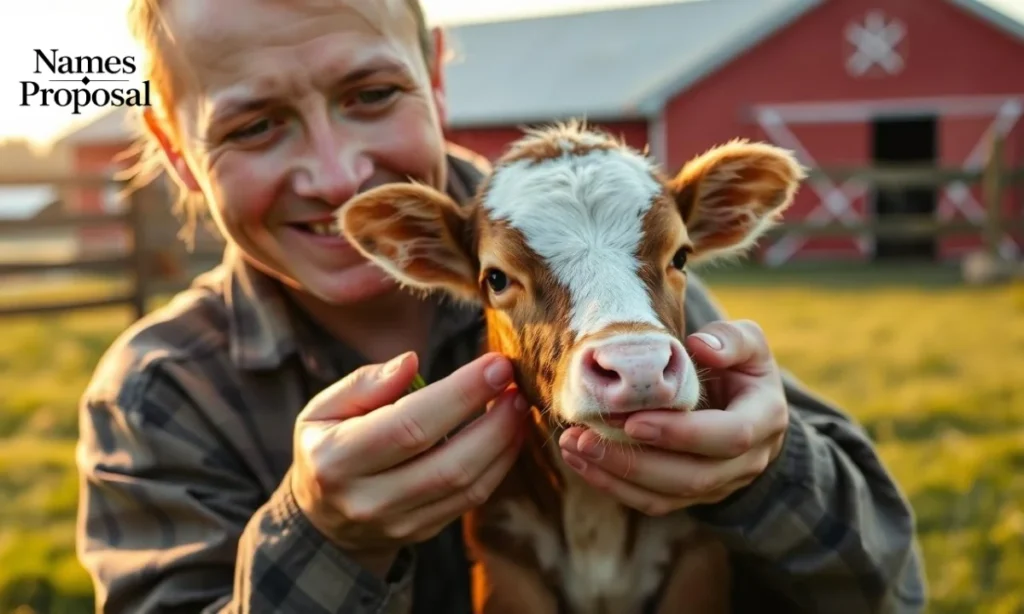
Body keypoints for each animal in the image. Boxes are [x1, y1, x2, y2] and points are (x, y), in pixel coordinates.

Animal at [334, 120, 805, 613]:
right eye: (496, 278)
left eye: (680, 256)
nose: (637, 365)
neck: (593, 516)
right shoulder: (505, 558)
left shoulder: (696, 559)